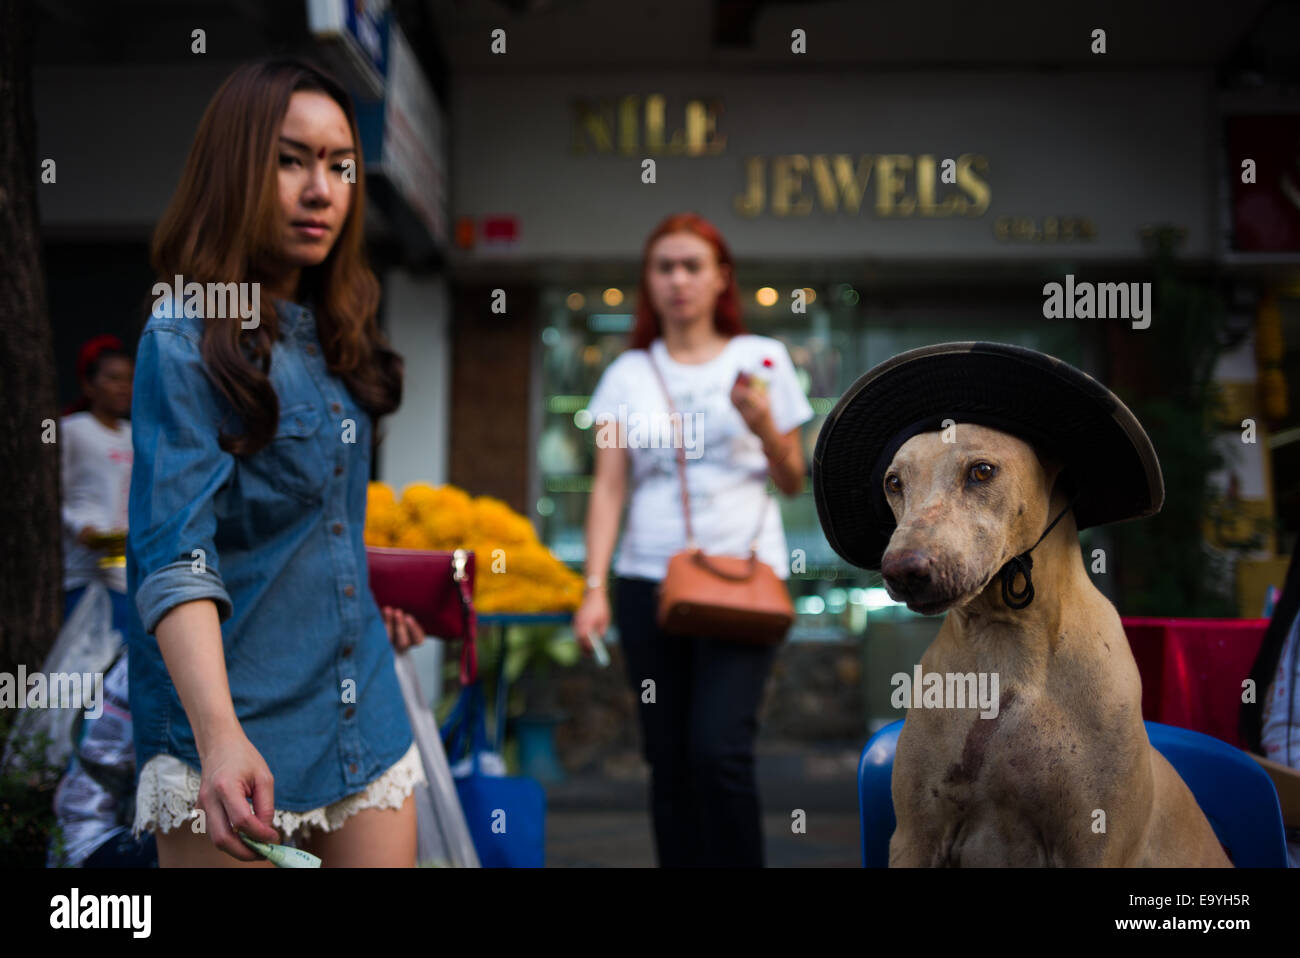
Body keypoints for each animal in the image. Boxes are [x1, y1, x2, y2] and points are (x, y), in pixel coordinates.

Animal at [816, 343, 1232, 868]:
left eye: (982, 471)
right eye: (894, 482)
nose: (902, 570)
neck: (1006, 646)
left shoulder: (1093, 843)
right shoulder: (915, 836)